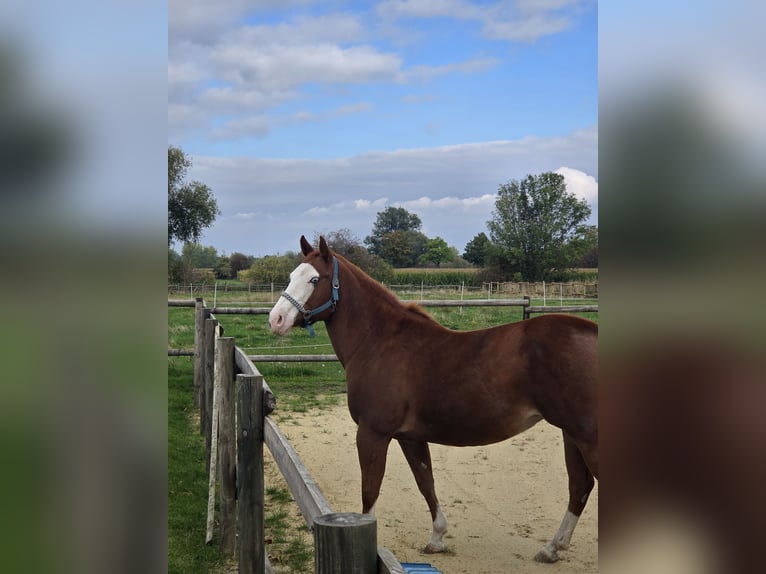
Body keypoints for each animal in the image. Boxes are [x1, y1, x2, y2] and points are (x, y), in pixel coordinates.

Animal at [268, 236, 598, 563]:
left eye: (315, 279)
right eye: (291, 276)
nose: (276, 319)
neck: (378, 343)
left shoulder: (372, 433)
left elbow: (370, 490)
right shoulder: (410, 437)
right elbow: (425, 481)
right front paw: (437, 537)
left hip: (587, 437)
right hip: (571, 434)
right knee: (580, 486)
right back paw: (552, 548)